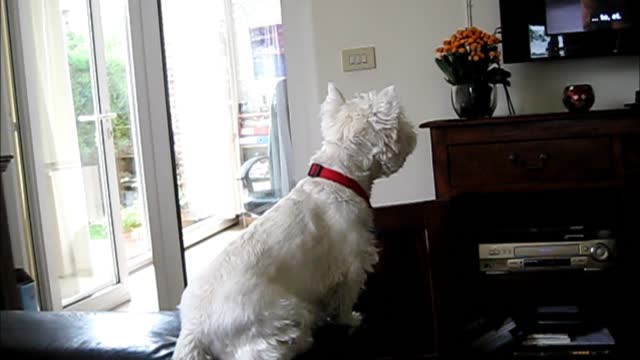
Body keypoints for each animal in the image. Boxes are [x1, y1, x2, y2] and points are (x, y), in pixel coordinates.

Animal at [172, 83, 418, 358]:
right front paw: (351, 320)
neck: (340, 178)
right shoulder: (352, 264)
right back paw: (302, 340)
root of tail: (193, 329)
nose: (415, 134)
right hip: (281, 312)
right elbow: (343, 301)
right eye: (402, 123)